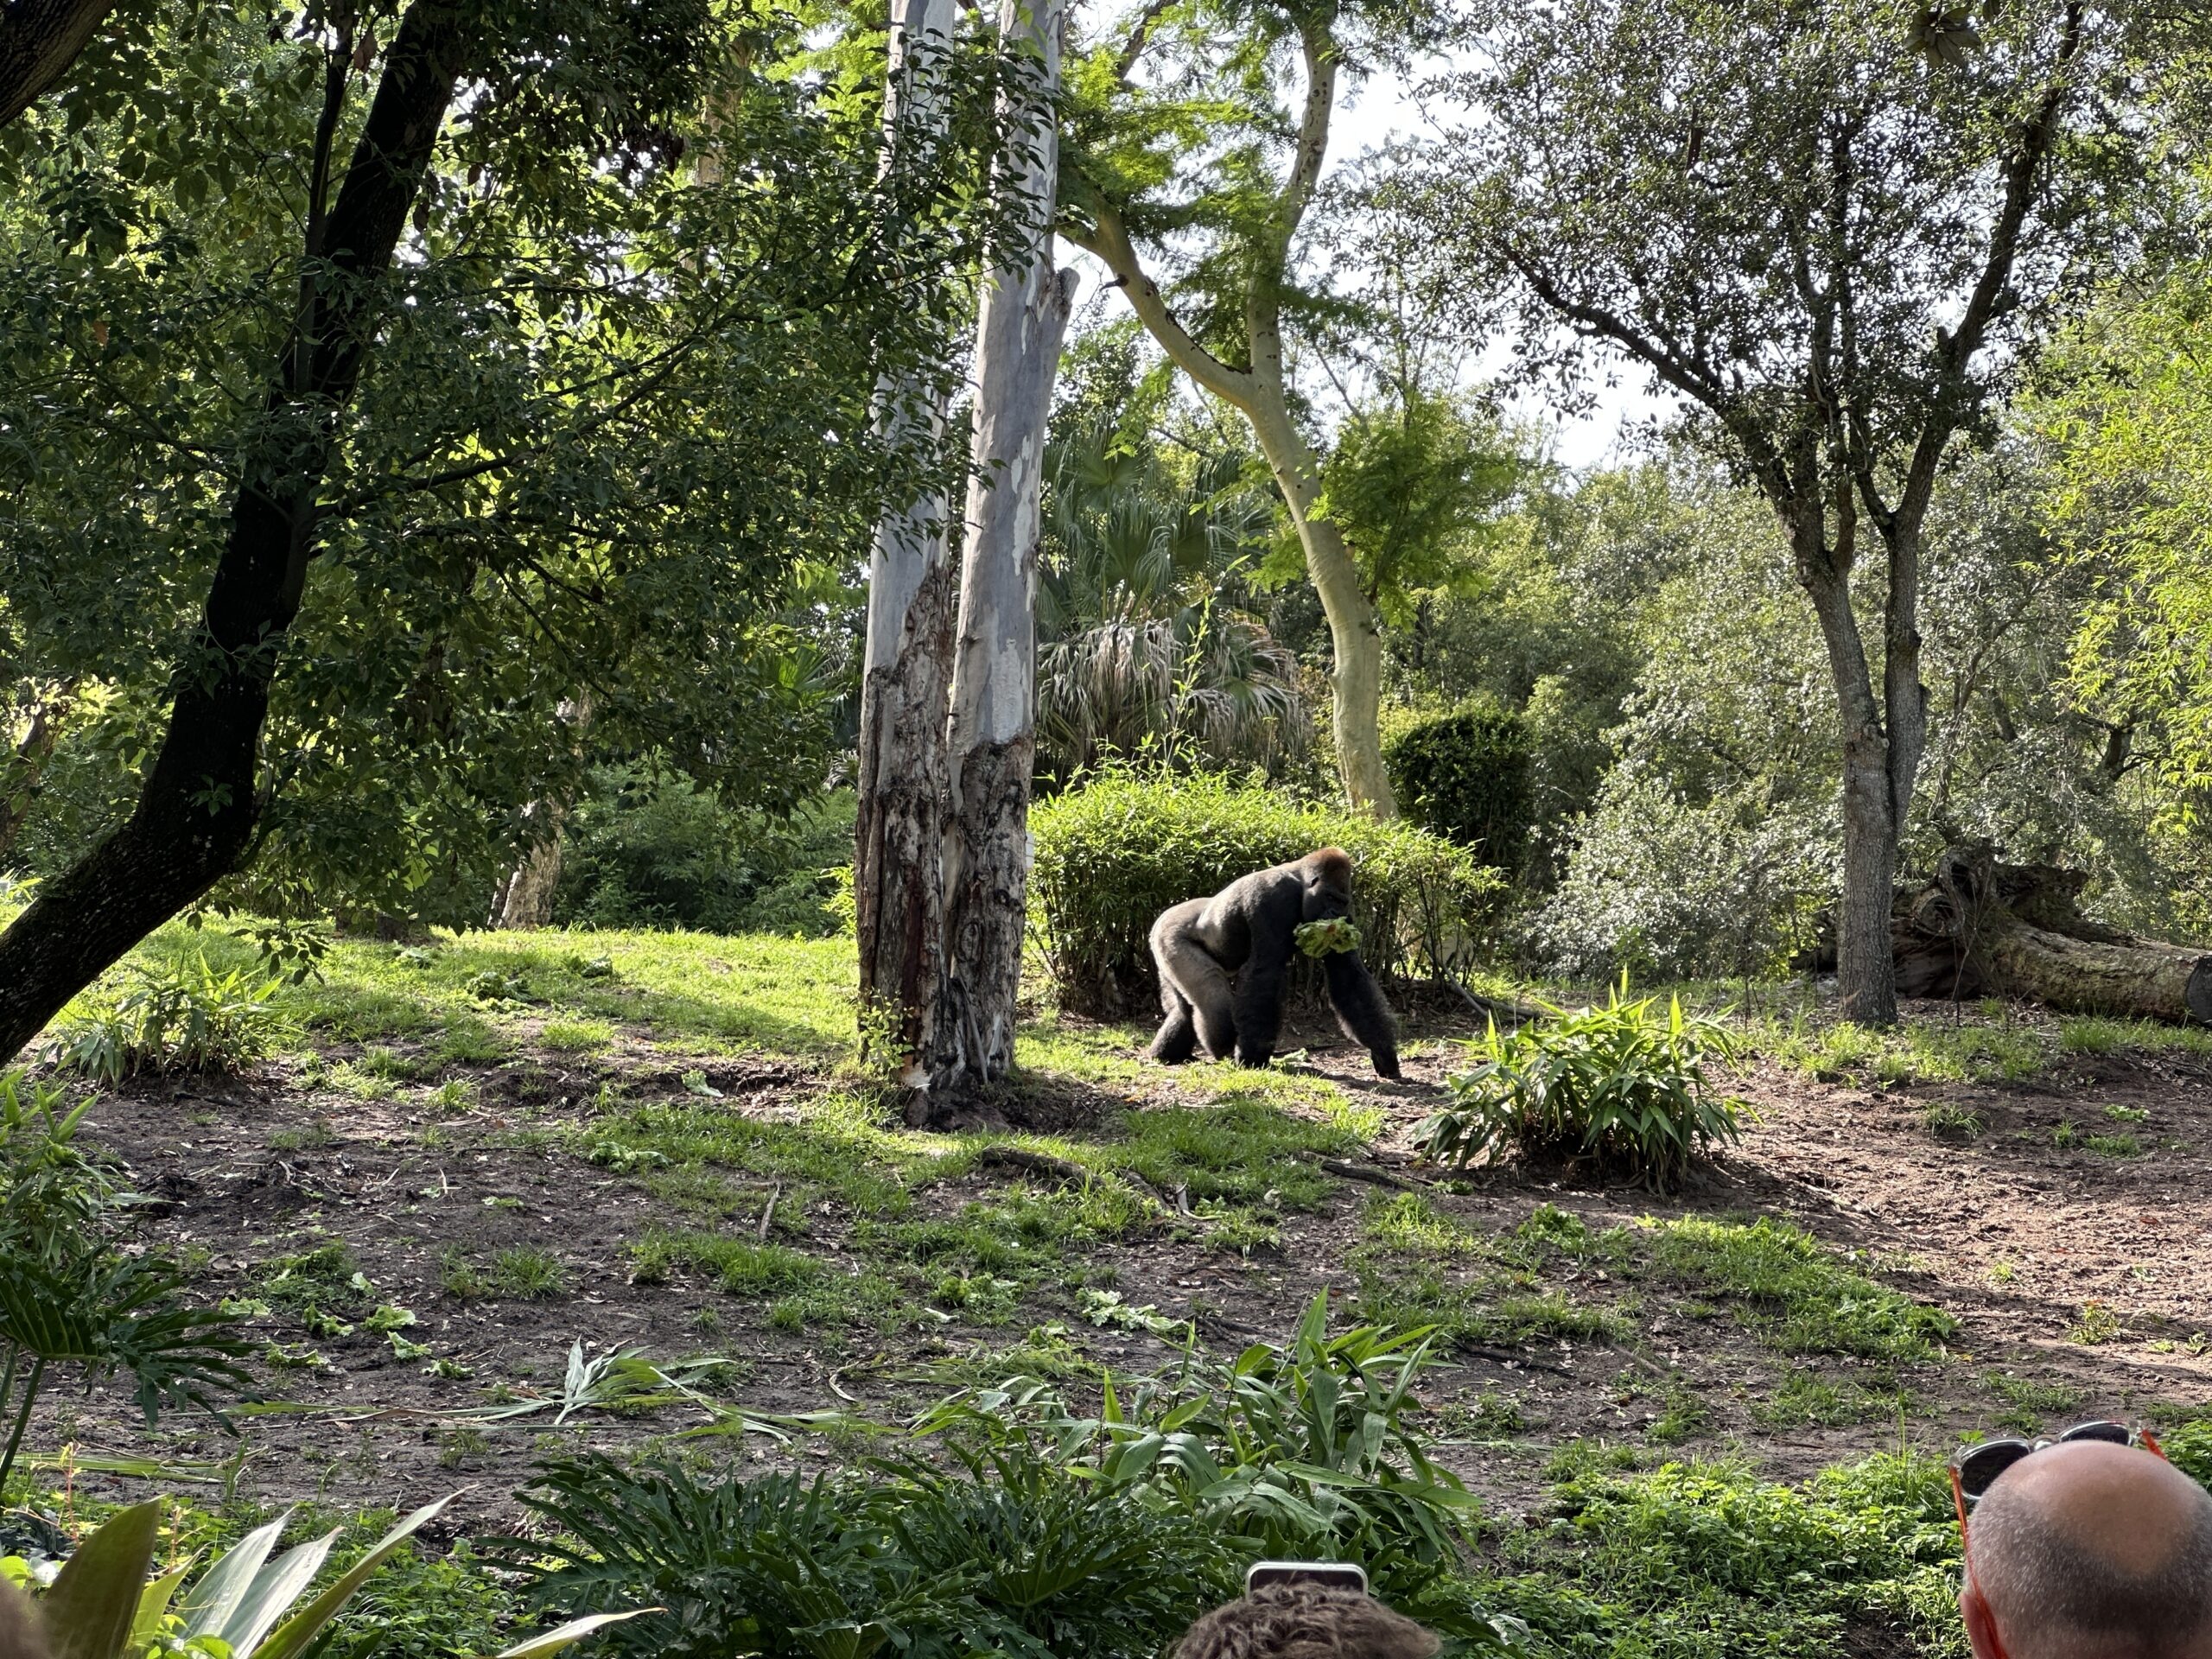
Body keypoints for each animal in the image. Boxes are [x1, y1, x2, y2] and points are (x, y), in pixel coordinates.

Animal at [1145, 848, 1401, 1079]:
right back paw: (1221, 1048)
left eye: (1340, 901)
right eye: (1329, 897)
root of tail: (1159, 919)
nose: (1333, 912)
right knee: (1212, 997)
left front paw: (1383, 1052)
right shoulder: (1274, 897)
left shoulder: (1347, 916)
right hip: (1171, 936)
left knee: (1184, 1007)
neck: (1300, 883)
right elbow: (1265, 971)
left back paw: (1167, 1054)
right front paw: (1253, 1057)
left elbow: (1348, 976)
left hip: (1165, 952)